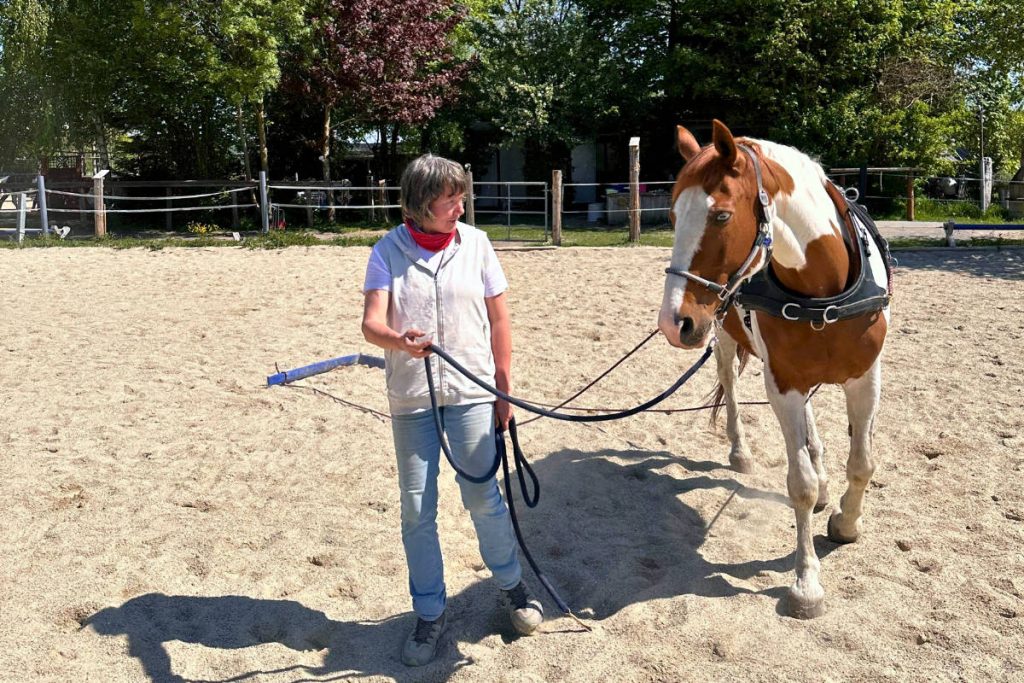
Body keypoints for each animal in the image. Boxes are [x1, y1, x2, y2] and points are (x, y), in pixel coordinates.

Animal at [658, 120, 891, 619]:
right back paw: (741, 451)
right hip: (723, 335)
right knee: (729, 385)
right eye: (671, 215)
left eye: (721, 216)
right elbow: (799, 484)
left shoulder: (865, 377)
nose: (673, 321)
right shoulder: (781, 382)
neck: (824, 287)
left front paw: (846, 521)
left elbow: (862, 462)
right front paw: (806, 583)